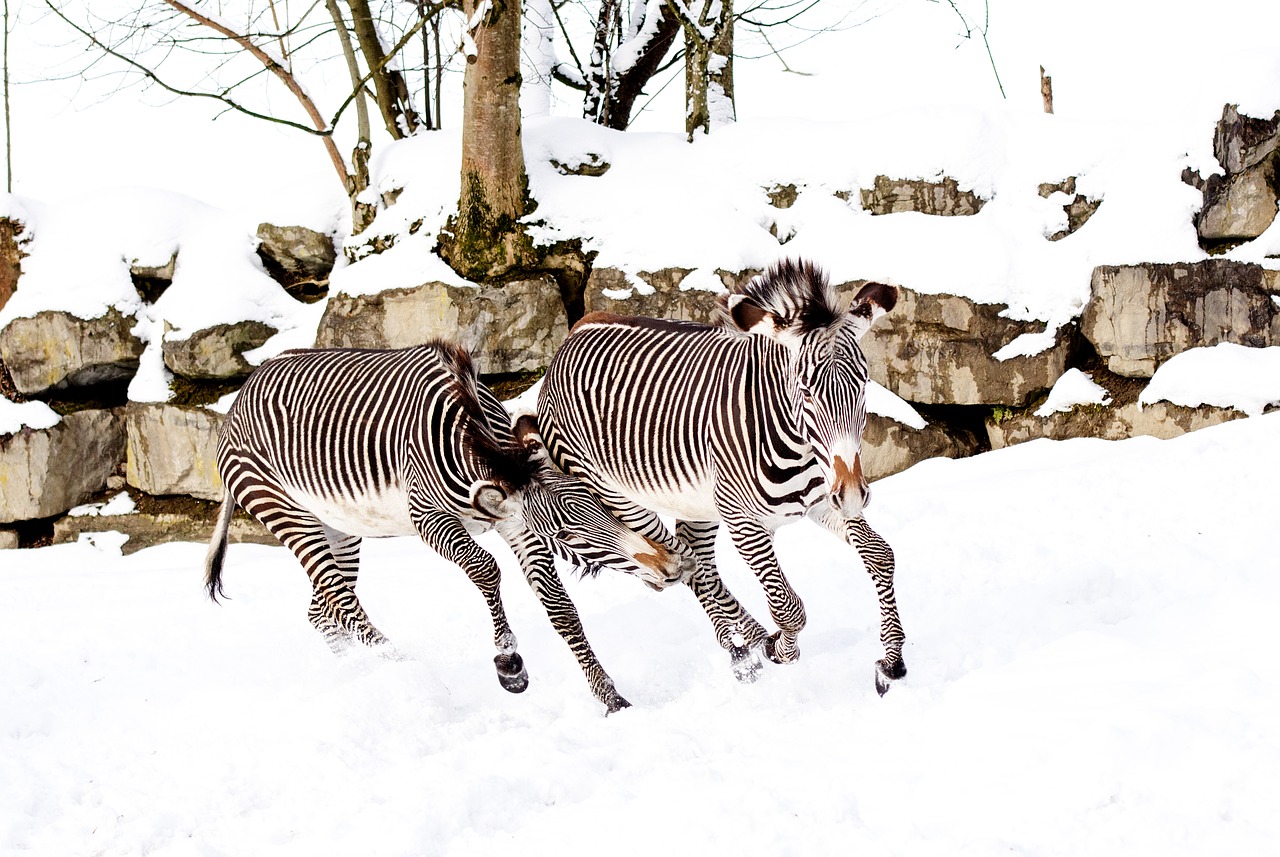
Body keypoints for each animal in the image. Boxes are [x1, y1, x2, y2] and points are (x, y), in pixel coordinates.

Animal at [207, 340, 691, 716]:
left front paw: (612, 700)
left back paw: (361, 674)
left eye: (603, 505)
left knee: (322, 609)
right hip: (288, 513)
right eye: (566, 536)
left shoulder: (516, 524)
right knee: (342, 604)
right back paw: (412, 672)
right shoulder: (428, 518)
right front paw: (509, 665)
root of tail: (240, 395)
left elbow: (560, 608)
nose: (670, 567)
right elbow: (485, 570)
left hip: (339, 527)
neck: (474, 440)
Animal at [535, 257, 906, 695]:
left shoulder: (821, 501)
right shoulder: (743, 521)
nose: (850, 494)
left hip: (697, 504)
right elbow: (788, 608)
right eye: (806, 392)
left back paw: (746, 647)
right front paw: (780, 648)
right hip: (619, 497)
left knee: (698, 561)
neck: (797, 445)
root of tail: (574, 332)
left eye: (862, 385)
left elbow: (881, 555)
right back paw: (749, 650)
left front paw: (891, 662)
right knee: (686, 563)